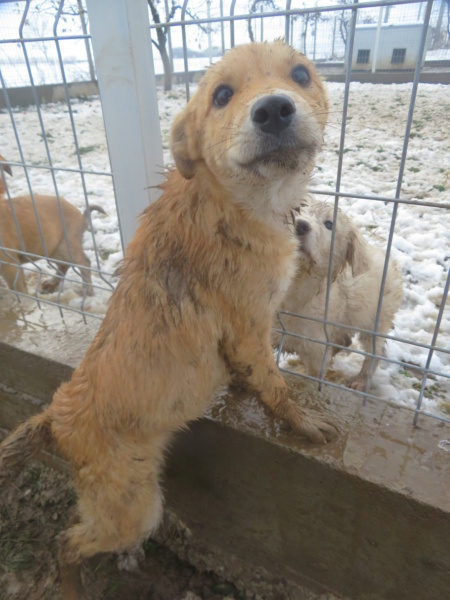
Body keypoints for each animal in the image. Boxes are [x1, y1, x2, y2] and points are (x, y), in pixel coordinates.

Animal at [0, 155, 104, 296]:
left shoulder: (9, 263)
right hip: (52, 248)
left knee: (83, 263)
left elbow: (19, 290)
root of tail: (80, 216)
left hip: (65, 245)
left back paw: (87, 290)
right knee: (64, 265)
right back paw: (52, 284)